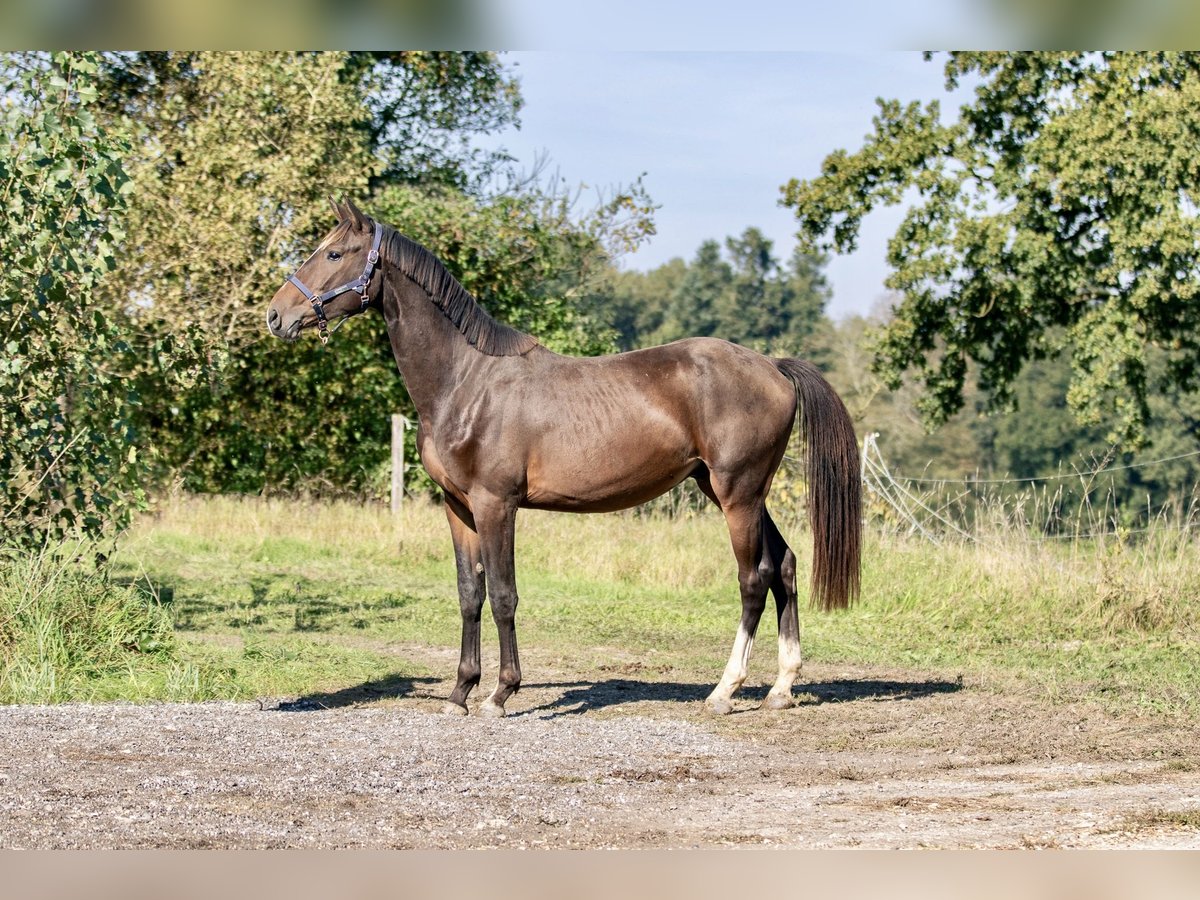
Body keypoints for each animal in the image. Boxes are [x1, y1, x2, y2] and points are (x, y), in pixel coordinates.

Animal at [266, 199, 859, 720]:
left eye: (333, 253)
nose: (277, 315)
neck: (465, 381)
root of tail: (773, 367)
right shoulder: (457, 508)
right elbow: (469, 595)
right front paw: (459, 693)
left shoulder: (496, 505)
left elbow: (503, 595)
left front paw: (499, 694)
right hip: (730, 491)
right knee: (784, 566)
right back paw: (781, 689)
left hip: (738, 493)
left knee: (753, 580)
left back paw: (724, 691)